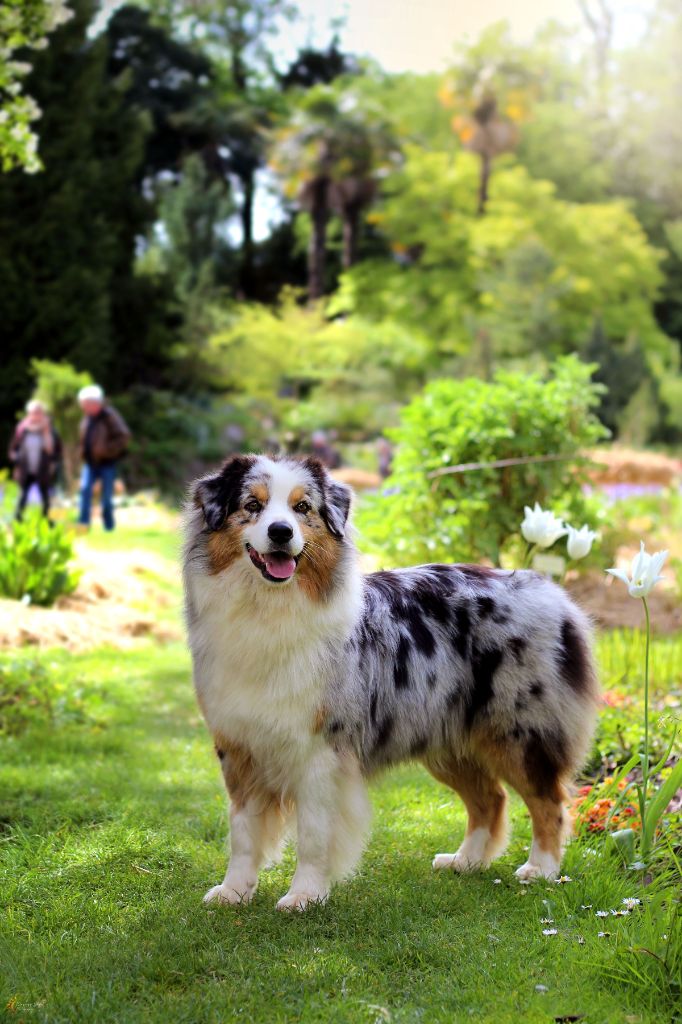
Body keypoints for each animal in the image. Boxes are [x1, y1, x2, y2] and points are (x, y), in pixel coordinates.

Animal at [183, 456, 598, 913]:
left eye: (302, 508)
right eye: (252, 505)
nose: (281, 533)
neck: (269, 610)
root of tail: (551, 591)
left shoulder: (321, 751)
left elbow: (313, 834)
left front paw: (304, 895)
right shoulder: (240, 745)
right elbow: (242, 831)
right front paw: (234, 891)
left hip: (521, 731)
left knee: (547, 801)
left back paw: (541, 868)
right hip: (448, 739)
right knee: (491, 799)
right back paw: (466, 861)